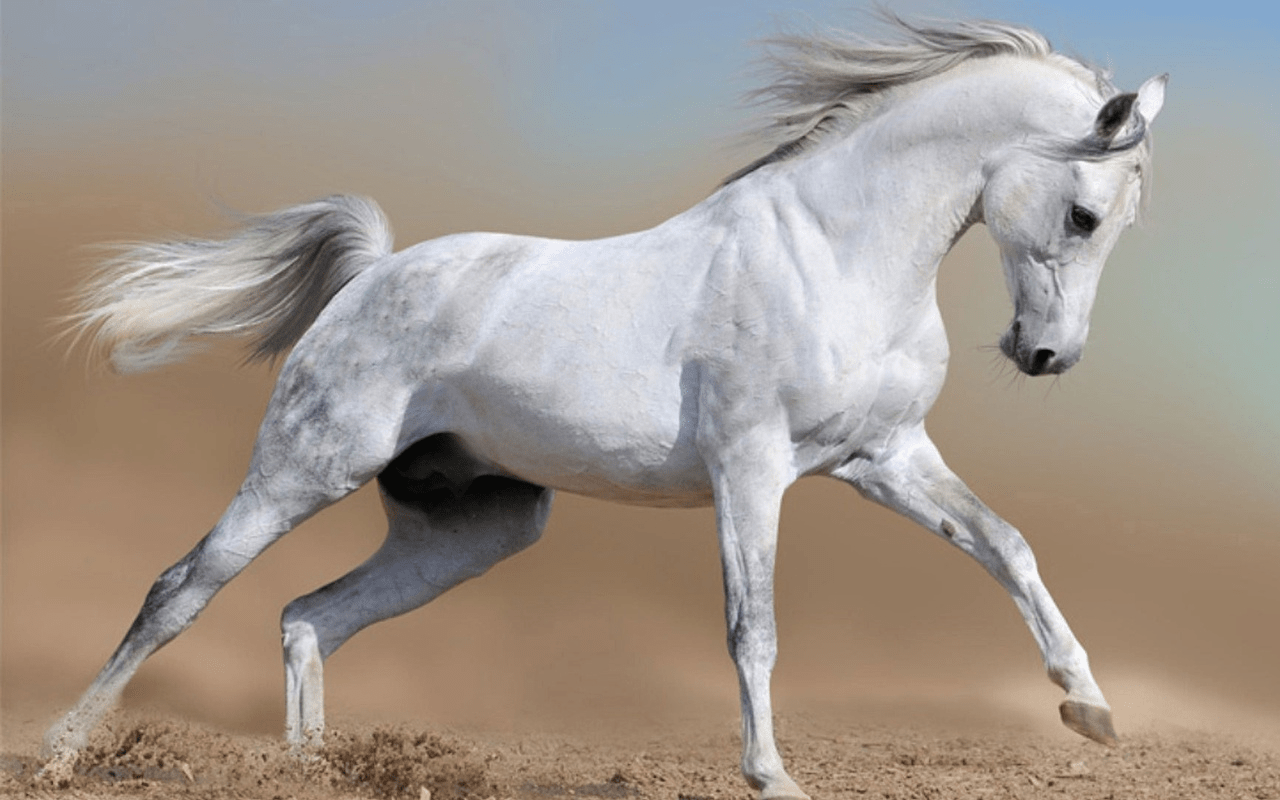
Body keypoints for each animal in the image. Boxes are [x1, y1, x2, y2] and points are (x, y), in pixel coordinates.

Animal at [43, 16, 1166, 799]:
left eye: (1118, 223)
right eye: (1083, 214)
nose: (1046, 355)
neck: (835, 253)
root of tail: (371, 275)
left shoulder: (883, 456)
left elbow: (1006, 545)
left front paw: (1091, 709)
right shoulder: (750, 467)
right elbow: (752, 626)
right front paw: (772, 775)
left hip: (475, 526)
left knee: (309, 616)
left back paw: (310, 768)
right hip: (304, 467)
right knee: (181, 589)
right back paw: (60, 751)